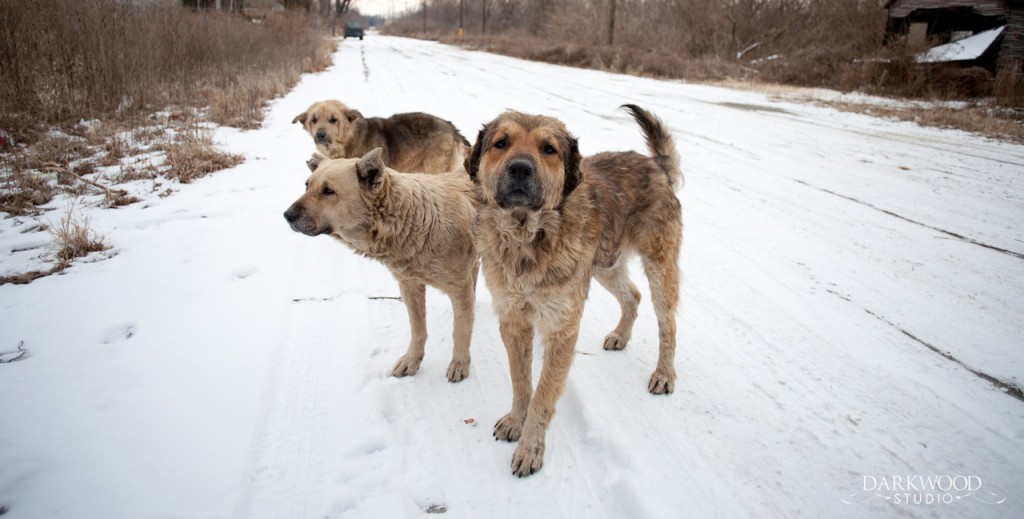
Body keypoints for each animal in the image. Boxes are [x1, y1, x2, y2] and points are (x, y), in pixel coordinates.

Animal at [284, 147, 479, 382]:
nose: (287, 215)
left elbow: (460, 332)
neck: (414, 221)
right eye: (307, 185)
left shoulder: (459, 287)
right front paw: (412, 360)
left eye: (328, 191)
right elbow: (418, 329)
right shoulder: (409, 285)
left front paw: (459, 363)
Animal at [468, 105, 684, 479]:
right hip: (603, 265)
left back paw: (664, 374)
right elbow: (520, 381)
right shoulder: (513, 319)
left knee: (666, 322)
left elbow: (543, 395)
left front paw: (531, 449)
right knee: (632, 296)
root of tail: (655, 164)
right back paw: (620, 336)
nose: (520, 168)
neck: (528, 235)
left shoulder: (561, 327)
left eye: (548, 149)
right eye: (501, 143)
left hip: (659, 267)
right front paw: (515, 421)